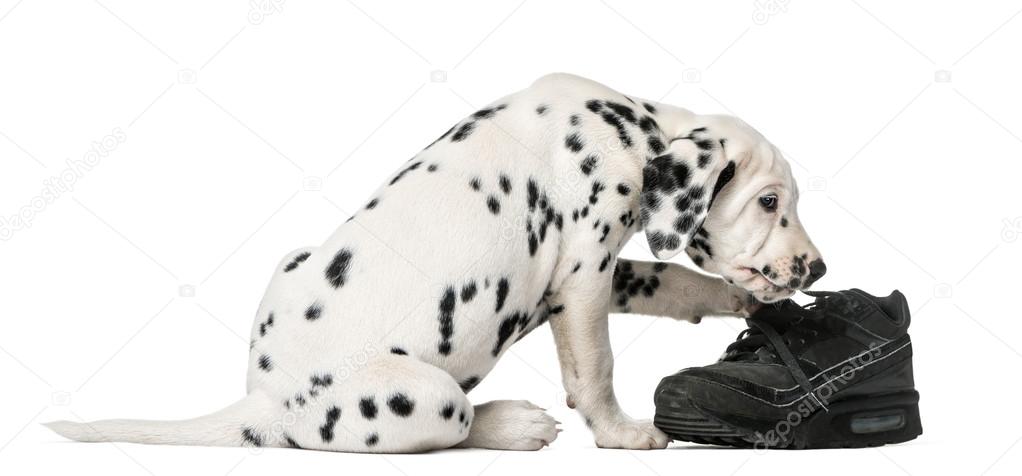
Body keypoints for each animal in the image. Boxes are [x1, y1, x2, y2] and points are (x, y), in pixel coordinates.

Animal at [49, 72, 821, 451]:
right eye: (770, 202)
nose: (815, 269)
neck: (631, 125)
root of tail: (264, 404)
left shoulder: (601, 274)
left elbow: (671, 278)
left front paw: (736, 303)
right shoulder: (584, 276)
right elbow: (595, 368)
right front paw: (620, 433)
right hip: (427, 396)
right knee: (456, 424)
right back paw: (514, 425)